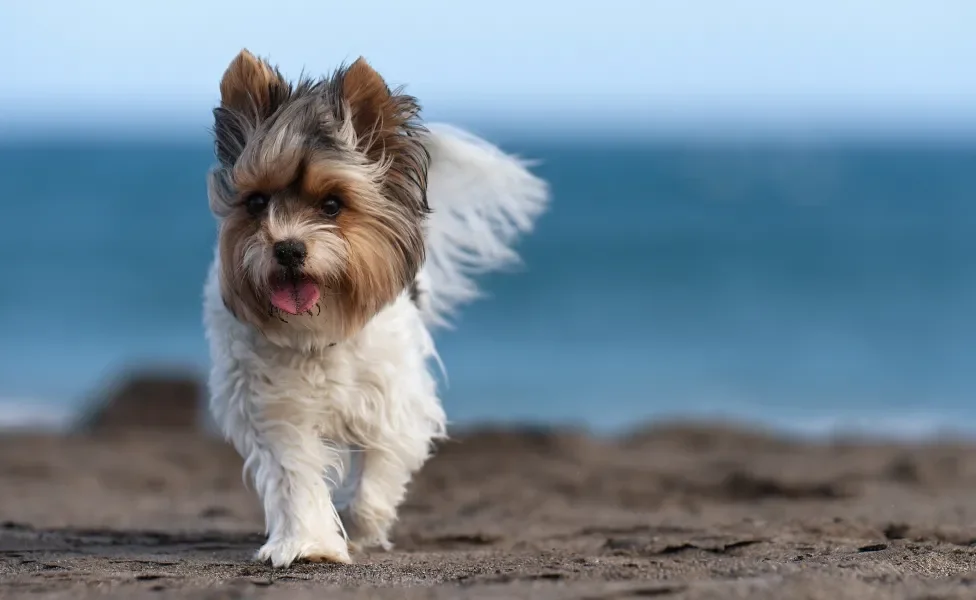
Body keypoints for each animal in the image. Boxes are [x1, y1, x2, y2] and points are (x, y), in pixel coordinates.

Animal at [202, 48, 548, 568]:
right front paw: (309, 544)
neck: (318, 329)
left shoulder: (393, 402)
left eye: (332, 205)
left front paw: (360, 527)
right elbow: (294, 473)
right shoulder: (273, 403)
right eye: (256, 202)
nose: (287, 248)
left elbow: (378, 476)